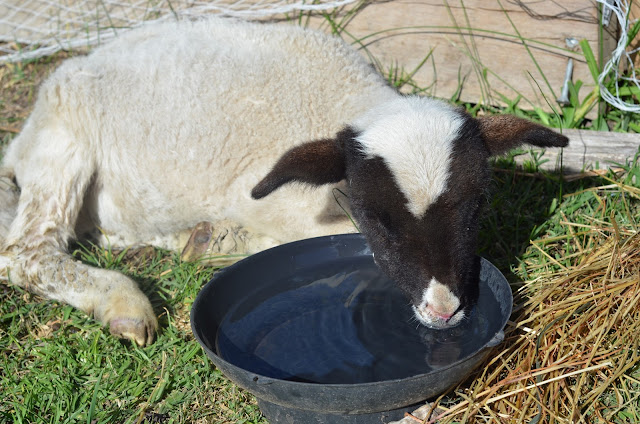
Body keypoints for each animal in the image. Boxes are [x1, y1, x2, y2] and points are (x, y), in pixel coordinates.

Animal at [1, 18, 568, 346]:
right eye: (380, 218)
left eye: (478, 204)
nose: (443, 310)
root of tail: (18, 145)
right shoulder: (274, 205)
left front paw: (213, 241)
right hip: (64, 136)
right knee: (25, 252)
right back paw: (124, 303)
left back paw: (198, 239)